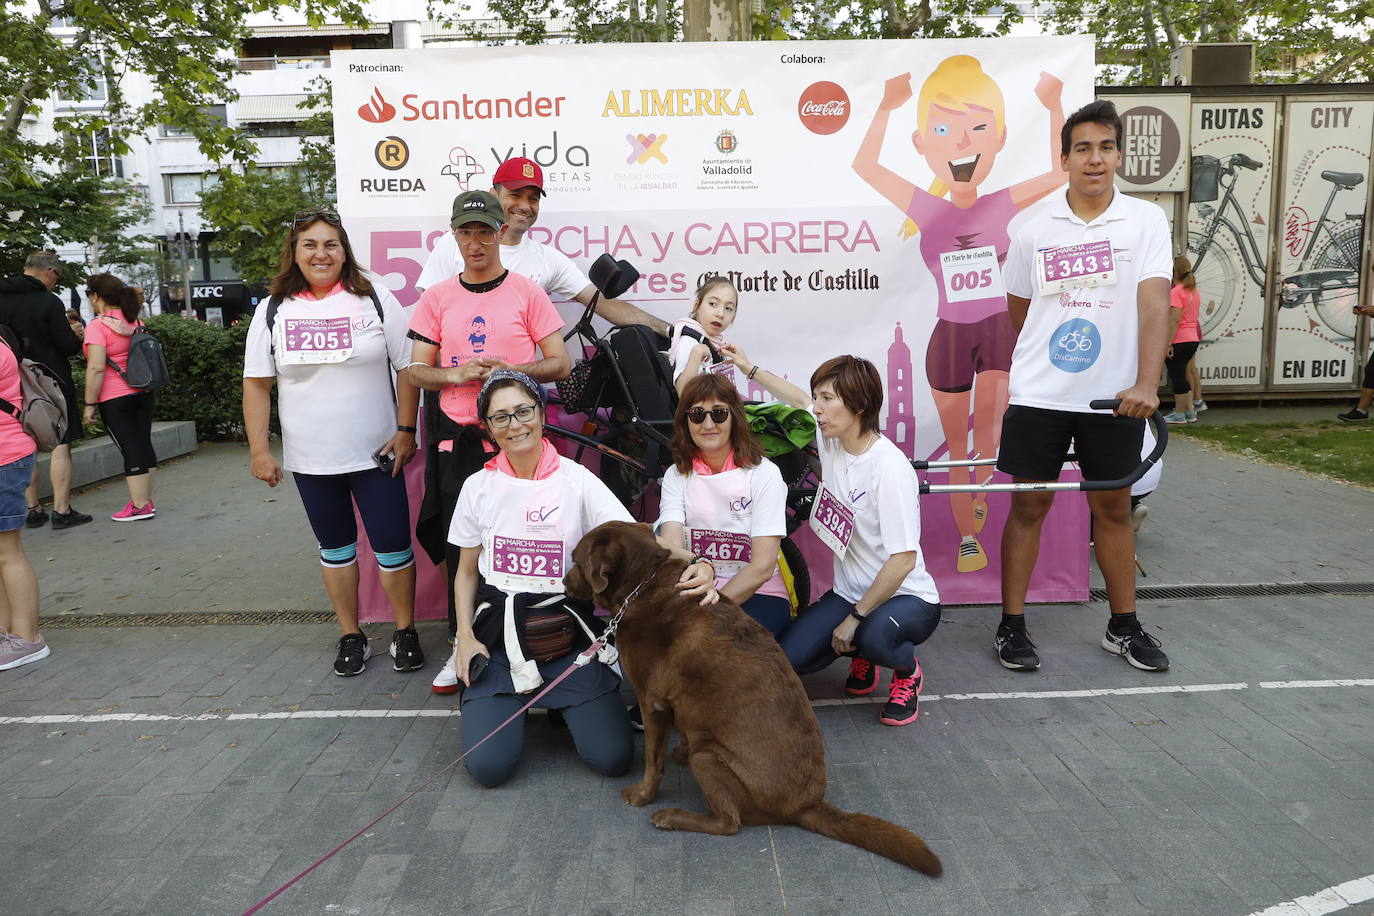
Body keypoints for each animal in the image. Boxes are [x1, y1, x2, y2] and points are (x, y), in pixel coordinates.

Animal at [563, 521, 939, 873]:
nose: (564, 583)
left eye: (576, 560)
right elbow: (685, 724)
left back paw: (672, 816)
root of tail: (806, 805)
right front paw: (679, 749)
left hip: (710, 757)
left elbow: (653, 761)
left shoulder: (651, 700)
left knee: (729, 822)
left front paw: (642, 795)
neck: (644, 582)